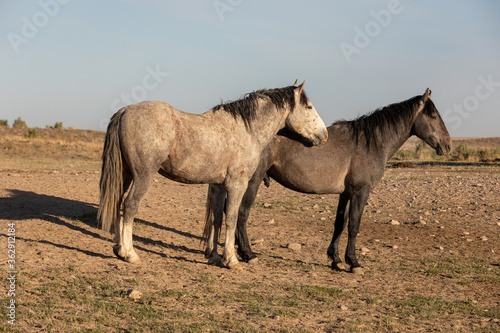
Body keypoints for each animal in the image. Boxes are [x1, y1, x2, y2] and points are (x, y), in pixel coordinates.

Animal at [99, 81, 330, 268]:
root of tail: (125, 111)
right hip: (143, 176)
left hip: (126, 174)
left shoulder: (218, 186)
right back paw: (129, 253)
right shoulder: (237, 185)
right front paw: (231, 259)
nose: (324, 135)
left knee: (118, 202)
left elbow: (217, 219)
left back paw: (117, 247)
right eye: (309, 107)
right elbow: (232, 219)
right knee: (130, 205)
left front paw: (215, 256)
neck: (247, 130)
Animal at [203, 88, 454, 272]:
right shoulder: (361, 192)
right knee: (241, 214)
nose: (448, 145)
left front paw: (335, 259)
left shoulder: (346, 193)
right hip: (251, 183)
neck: (370, 143)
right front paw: (354, 262)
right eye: (433, 115)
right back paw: (247, 254)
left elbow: (340, 223)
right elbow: (354, 226)